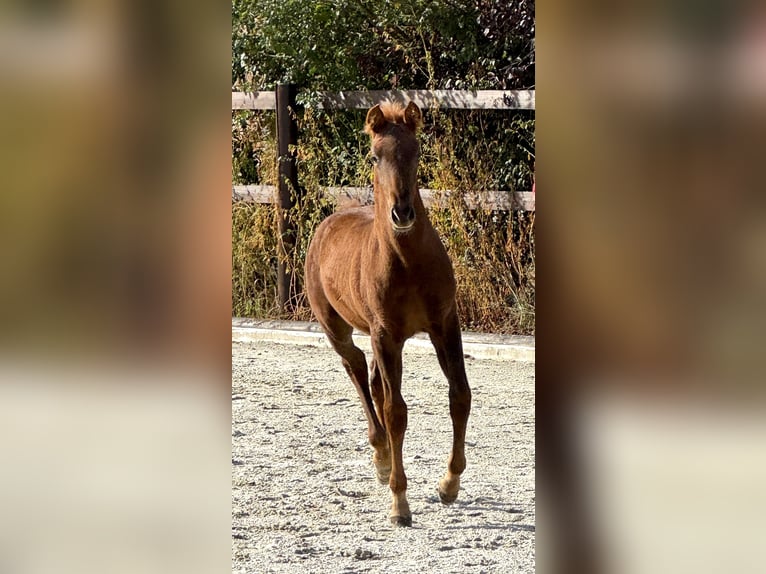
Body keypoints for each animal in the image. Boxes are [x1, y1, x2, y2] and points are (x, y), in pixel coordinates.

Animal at [305, 101, 471, 527]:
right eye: (374, 156)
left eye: (417, 151)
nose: (402, 212)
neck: (408, 262)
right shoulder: (385, 333)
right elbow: (396, 412)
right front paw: (400, 503)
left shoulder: (444, 323)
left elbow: (459, 396)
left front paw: (449, 484)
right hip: (338, 329)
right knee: (357, 370)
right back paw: (380, 457)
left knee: (374, 380)